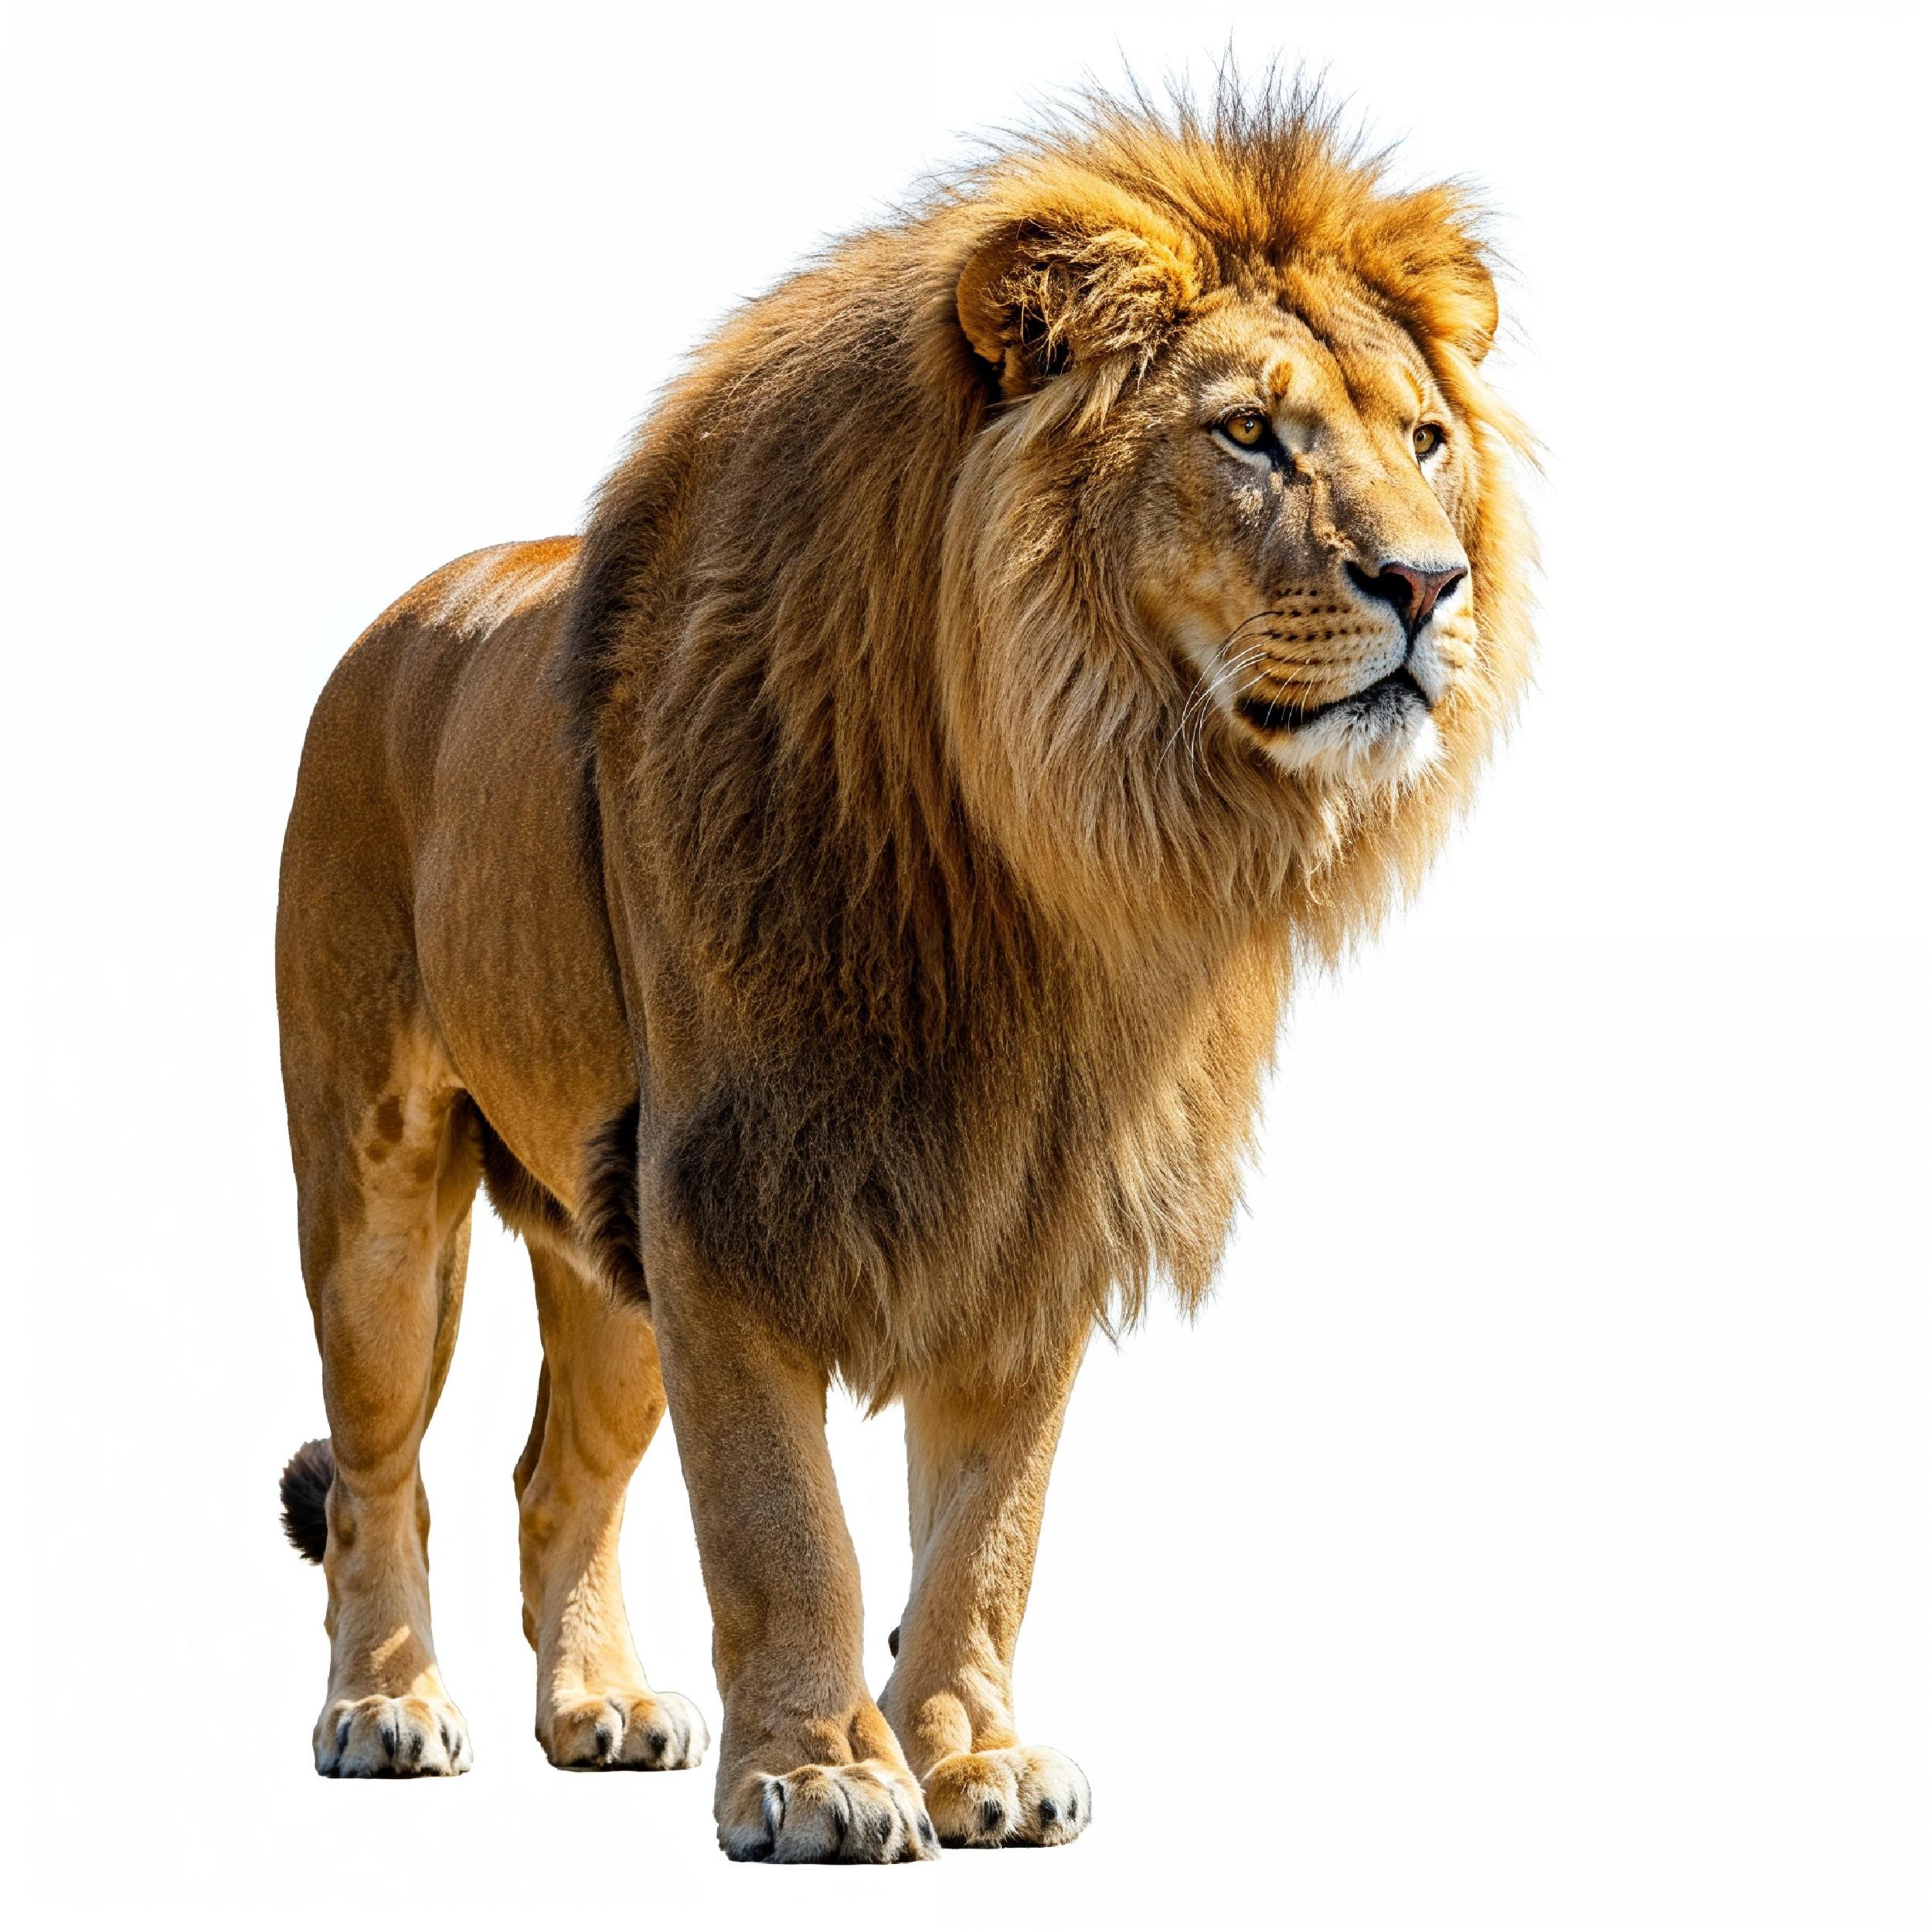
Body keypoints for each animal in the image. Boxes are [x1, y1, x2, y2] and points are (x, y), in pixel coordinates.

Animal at [274, 78, 1534, 1861]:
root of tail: (394, 618)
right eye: (1247, 435)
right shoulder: (723, 1192)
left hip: (602, 1247)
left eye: (1424, 440)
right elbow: (782, 1522)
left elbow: (988, 1534)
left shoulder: (1032, 1204)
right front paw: (817, 1773)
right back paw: (384, 1706)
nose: (1429, 582)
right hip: (377, 1184)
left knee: (553, 1479)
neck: (1047, 848)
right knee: (385, 1471)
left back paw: (598, 1705)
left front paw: (969, 1756)